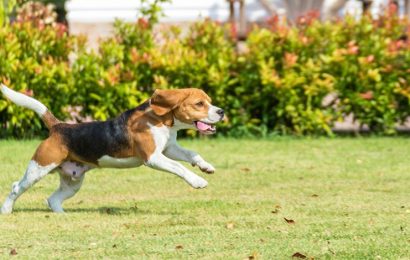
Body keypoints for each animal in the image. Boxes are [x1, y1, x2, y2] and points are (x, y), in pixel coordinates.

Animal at [0, 85, 224, 213]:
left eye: (210, 102)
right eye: (199, 104)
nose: (221, 112)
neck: (160, 119)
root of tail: (59, 127)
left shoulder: (169, 148)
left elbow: (191, 154)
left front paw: (205, 167)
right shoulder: (153, 157)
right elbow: (180, 167)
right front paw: (197, 181)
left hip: (73, 182)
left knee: (52, 199)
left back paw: (62, 216)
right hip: (39, 168)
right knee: (16, 187)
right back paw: (6, 210)